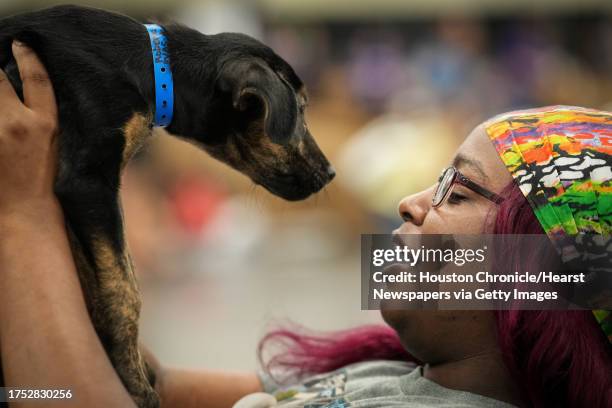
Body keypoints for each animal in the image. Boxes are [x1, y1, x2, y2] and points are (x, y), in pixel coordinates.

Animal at [0, 3, 334, 408]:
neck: (154, 69)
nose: (330, 173)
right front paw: (134, 385)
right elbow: (123, 291)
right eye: (300, 109)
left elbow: (102, 280)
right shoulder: (86, 182)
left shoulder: (85, 200)